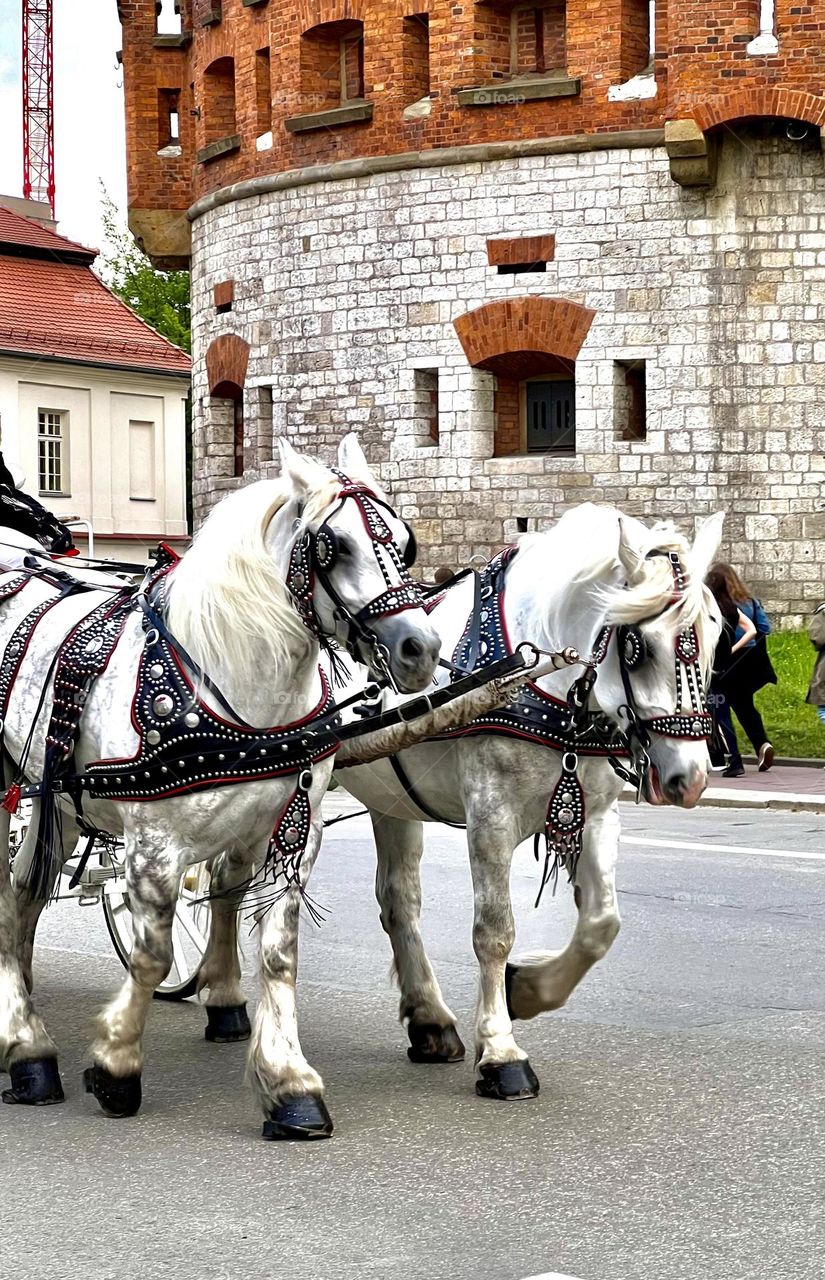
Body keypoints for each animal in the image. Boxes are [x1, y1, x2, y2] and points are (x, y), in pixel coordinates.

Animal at [0, 434, 440, 1139]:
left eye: (405, 543)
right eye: (334, 546)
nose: (418, 649)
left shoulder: (292, 834)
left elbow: (278, 952)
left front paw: (288, 1083)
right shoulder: (152, 845)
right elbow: (152, 954)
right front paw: (117, 1063)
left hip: (53, 796)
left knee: (22, 900)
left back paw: (27, 1040)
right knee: (16, 900)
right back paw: (28, 1048)